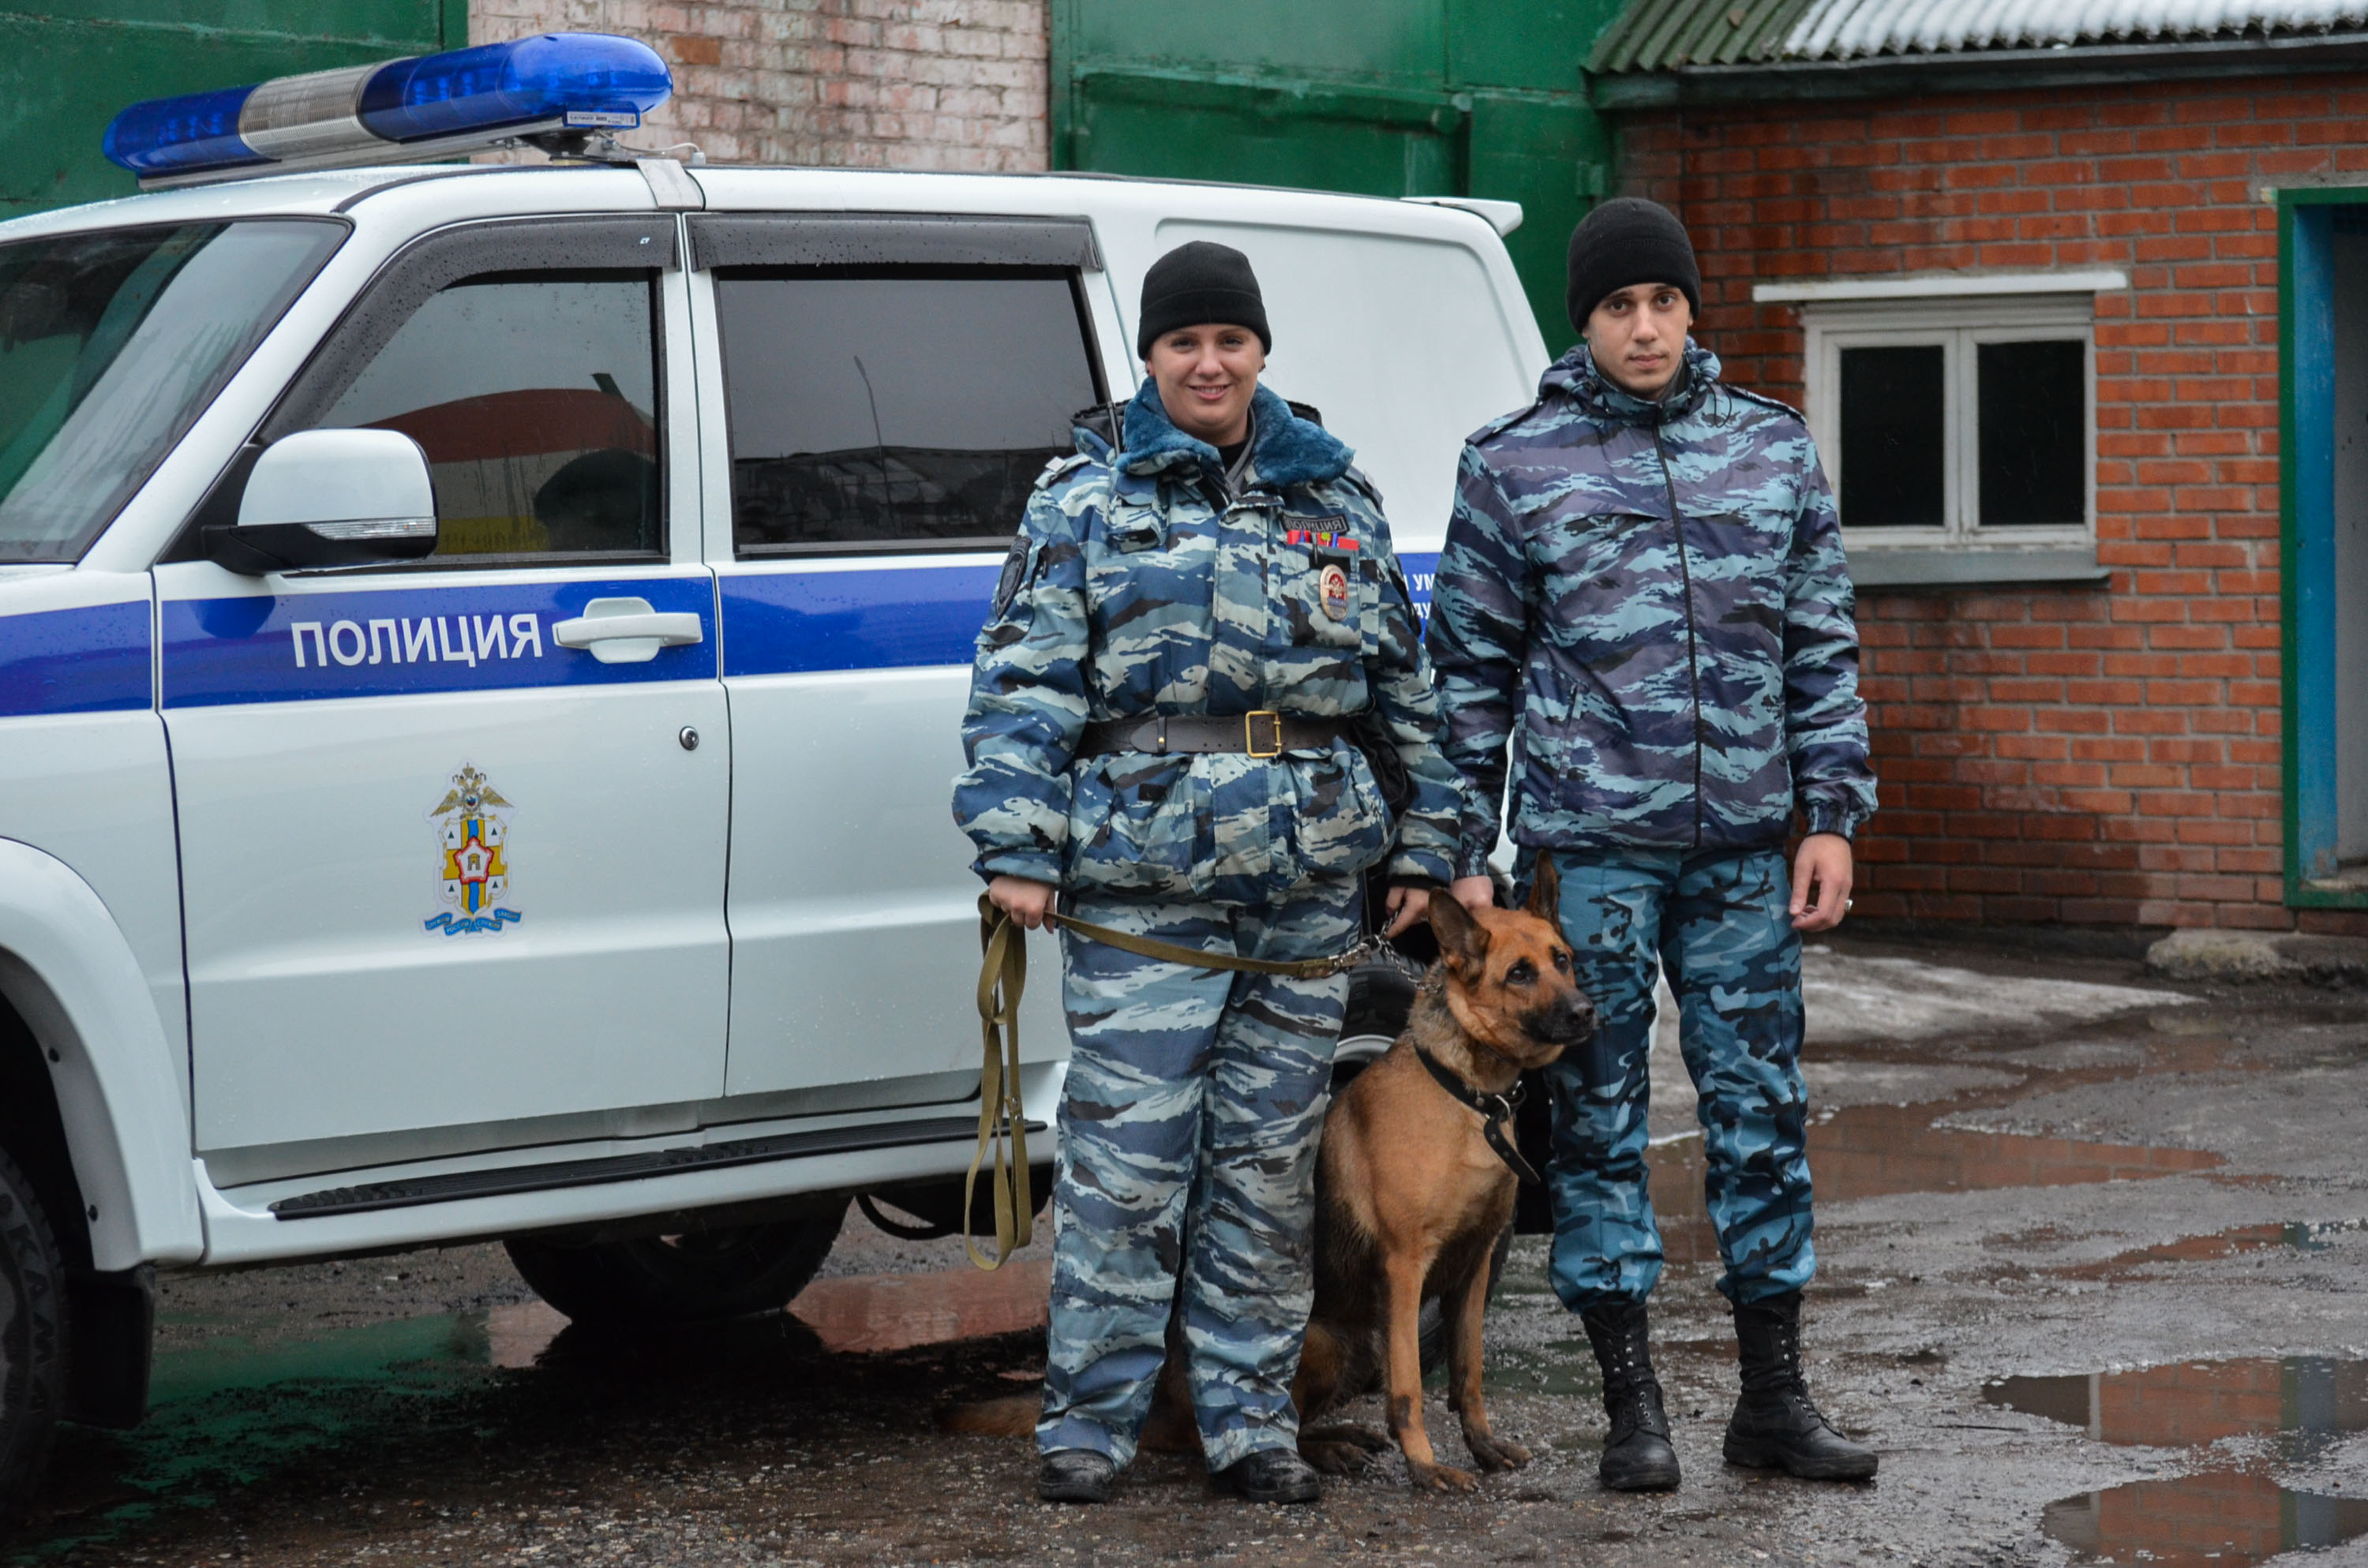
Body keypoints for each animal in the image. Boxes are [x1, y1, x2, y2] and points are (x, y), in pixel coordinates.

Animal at [942, 871, 1591, 1496]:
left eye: (1562, 959)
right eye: (1519, 973)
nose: (1587, 1012)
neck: (1465, 1092)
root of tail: (1164, 1405)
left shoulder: (1474, 1266)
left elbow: (1468, 1371)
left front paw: (1482, 1446)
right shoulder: (1406, 1268)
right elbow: (1409, 1388)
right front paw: (1426, 1467)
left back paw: (1336, 1438)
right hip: (1327, 1340)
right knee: (1250, 1426)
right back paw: (1317, 1451)